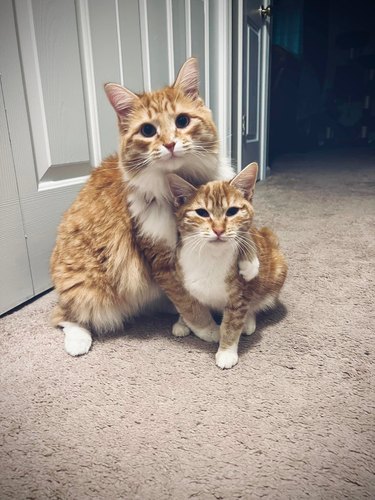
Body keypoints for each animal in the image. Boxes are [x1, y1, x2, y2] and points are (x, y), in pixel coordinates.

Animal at [50, 58, 234, 356]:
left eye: (182, 121)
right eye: (148, 130)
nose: (170, 144)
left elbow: (189, 297)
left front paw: (186, 323)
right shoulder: (161, 258)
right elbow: (190, 302)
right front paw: (208, 330)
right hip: (87, 287)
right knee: (65, 316)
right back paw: (78, 342)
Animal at [167, 162, 288, 370]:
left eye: (232, 211)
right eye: (202, 212)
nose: (218, 230)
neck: (210, 255)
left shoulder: (239, 296)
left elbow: (231, 325)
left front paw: (226, 352)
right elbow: (188, 304)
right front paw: (185, 321)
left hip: (278, 269)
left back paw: (249, 321)